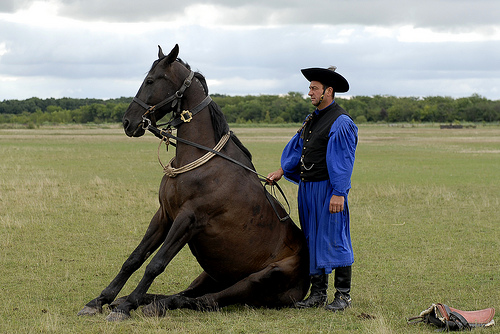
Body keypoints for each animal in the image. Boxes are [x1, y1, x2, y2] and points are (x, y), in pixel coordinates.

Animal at [75, 44, 308, 320]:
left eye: (150, 80)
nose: (128, 122)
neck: (202, 162)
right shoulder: (164, 215)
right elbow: (135, 258)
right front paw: (101, 299)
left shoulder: (188, 220)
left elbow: (156, 264)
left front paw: (125, 306)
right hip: (211, 275)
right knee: (188, 294)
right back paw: (145, 301)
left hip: (257, 279)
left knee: (203, 301)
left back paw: (151, 305)